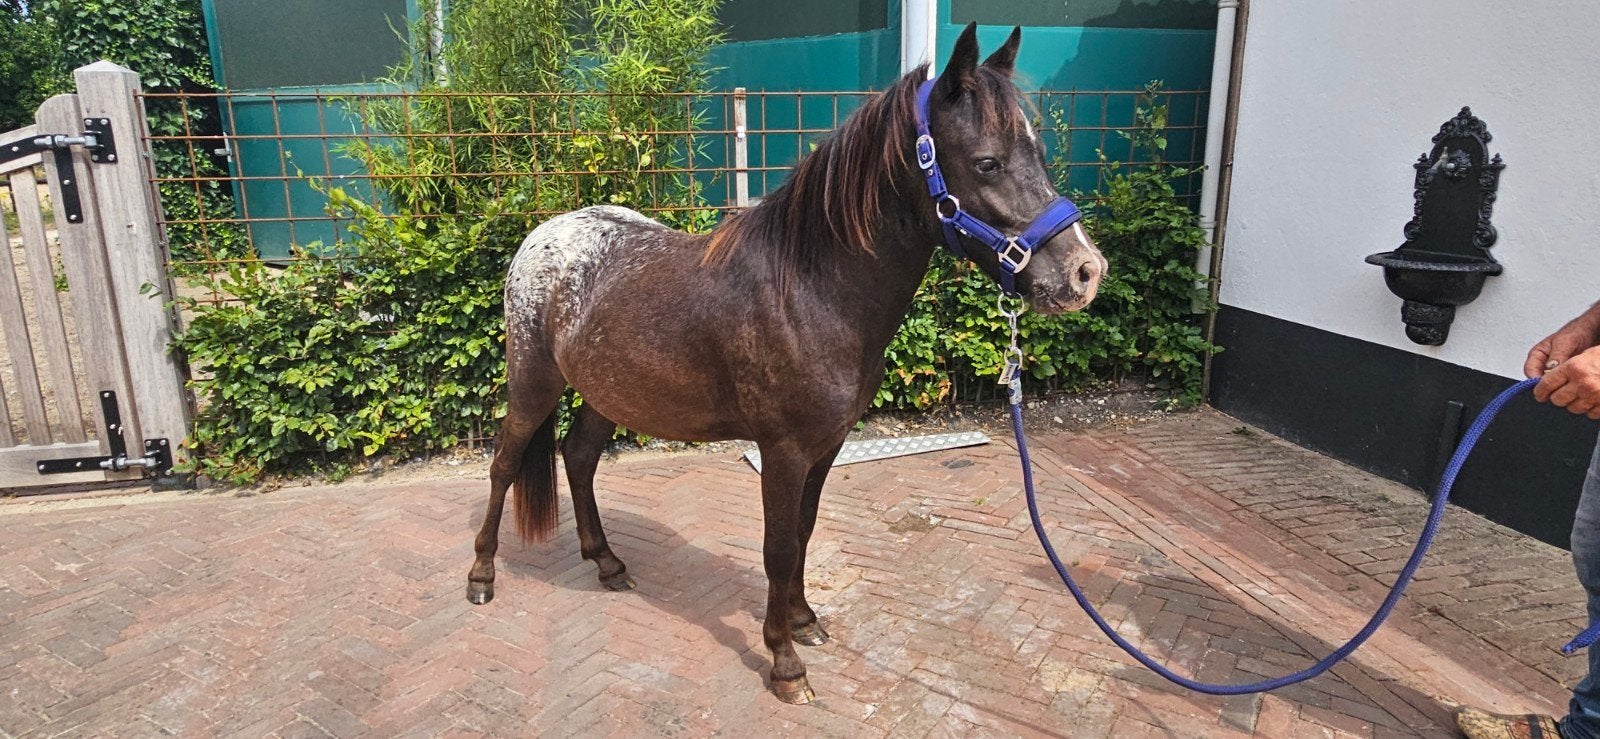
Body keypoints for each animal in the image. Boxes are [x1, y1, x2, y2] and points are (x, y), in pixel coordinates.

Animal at [466, 23, 1106, 704]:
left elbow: (803, 530)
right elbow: (776, 547)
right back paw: (481, 576)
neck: (808, 290)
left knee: (579, 458)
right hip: (533, 384)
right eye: (987, 162)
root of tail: (544, 235)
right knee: (504, 465)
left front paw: (802, 620)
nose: (1085, 273)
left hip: (608, 393)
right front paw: (784, 662)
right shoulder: (782, 450)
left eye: (1039, 155)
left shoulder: (826, 446)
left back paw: (608, 564)